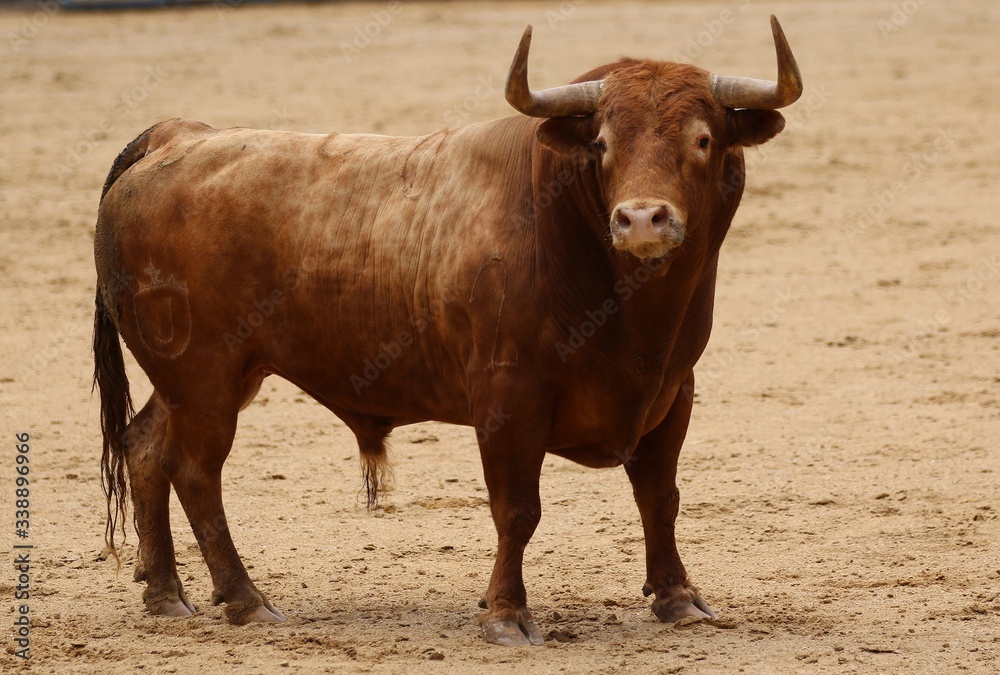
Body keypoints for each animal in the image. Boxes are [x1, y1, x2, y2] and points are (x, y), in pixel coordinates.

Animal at [90, 17, 800, 648]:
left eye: (703, 140)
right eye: (601, 144)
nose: (642, 219)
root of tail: (175, 139)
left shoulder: (673, 391)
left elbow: (660, 496)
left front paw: (678, 598)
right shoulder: (508, 399)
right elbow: (517, 509)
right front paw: (506, 615)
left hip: (204, 380)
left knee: (146, 448)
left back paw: (166, 594)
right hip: (204, 378)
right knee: (195, 472)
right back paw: (245, 600)